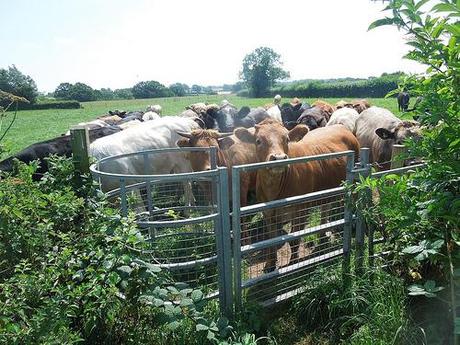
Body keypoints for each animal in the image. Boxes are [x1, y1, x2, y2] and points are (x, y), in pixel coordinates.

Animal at [235, 119, 362, 270]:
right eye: (258, 141)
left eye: (287, 139)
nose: (279, 158)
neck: (274, 190)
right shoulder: (267, 213)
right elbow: (271, 241)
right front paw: (270, 264)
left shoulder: (301, 211)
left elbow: (294, 240)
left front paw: (293, 263)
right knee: (326, 208)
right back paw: (322, 234)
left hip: (356, 181)